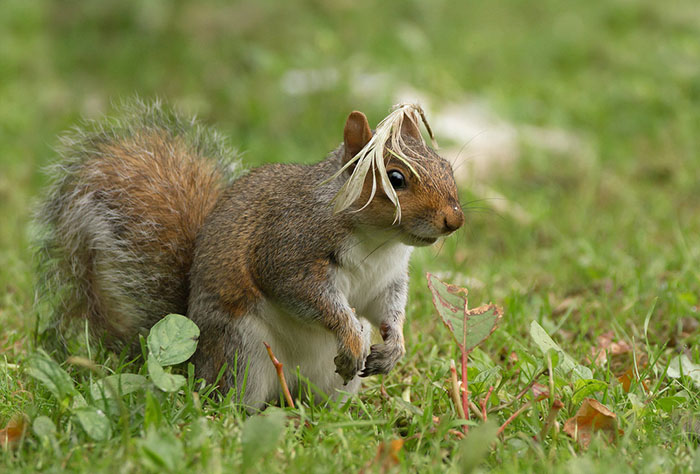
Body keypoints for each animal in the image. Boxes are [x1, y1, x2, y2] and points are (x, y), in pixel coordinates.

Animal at [35, 100, 464, 409]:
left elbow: (386, 308)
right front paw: (352, 336)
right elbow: (311, 298)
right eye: (395, 179)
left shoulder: (386, 279)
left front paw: (394, 347)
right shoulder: (287, 251)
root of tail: (195, 363)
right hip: (243, 352)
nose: (454, 219)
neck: (379, 242)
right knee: (236, 400)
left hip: (329, 383)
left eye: (446, 166)